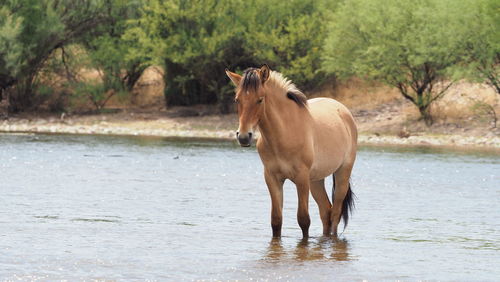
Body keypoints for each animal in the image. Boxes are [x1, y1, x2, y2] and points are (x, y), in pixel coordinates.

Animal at [225, 65, 358, 237]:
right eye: (237, 99)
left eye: (260, 99)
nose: (243, 137)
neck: (285, 133)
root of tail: (344, 111)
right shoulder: (272, 178)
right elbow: (276, 220)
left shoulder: (301, 178)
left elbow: (303, 220)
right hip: (315, 180)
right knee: (325, 211)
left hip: (342, 174)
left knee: (335, 213)